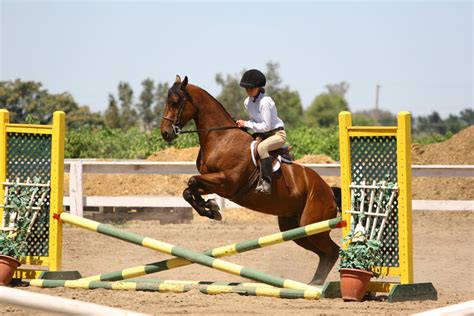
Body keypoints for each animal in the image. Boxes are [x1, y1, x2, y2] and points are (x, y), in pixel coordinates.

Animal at [161, 75, 338, 286]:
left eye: (175, 102)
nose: (164, 133)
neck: (221, 137)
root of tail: (329, 191)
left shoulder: (227, 182)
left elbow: (192, 181)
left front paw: (211, 208)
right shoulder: (215, 183)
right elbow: (189, 189)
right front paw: (211, 208)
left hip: (312, 225)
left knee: (332, 251)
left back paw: (318, 285)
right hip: (296, 228)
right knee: (325, 253)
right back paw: (314, 284)